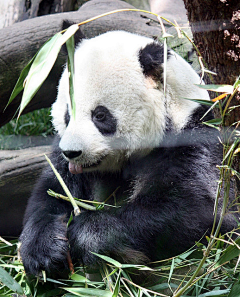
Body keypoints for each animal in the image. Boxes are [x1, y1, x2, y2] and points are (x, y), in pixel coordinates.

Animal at [19, 28, 237, 274]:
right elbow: (51, 193)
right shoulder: (62, 153)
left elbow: (197, 210)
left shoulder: (193, 138)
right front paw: (44, 251)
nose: (72, 153)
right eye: (68, 113)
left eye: (100, 115)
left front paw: (88, 232)